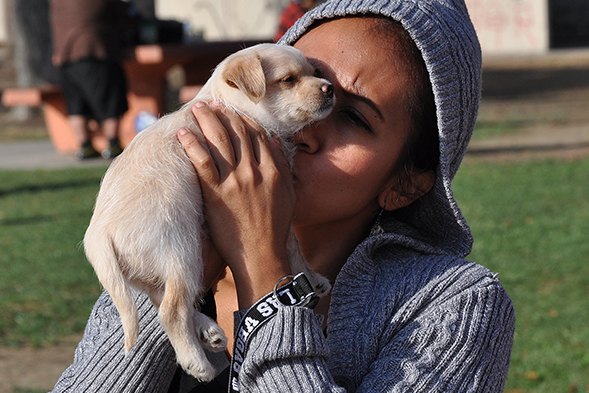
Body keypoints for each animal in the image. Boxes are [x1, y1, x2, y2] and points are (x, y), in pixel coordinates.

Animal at [82, 42, 334, 380]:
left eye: (314, 72)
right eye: (289, 80)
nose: (330, 88)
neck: (234, 108)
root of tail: (99, 235)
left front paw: (314, 280)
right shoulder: (285, 206)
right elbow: (293, 247)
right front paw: (310, 276)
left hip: (155, 270)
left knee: (163, 300)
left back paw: (206, 331)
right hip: (182, 251)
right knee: (171, 309)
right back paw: (196, 362)